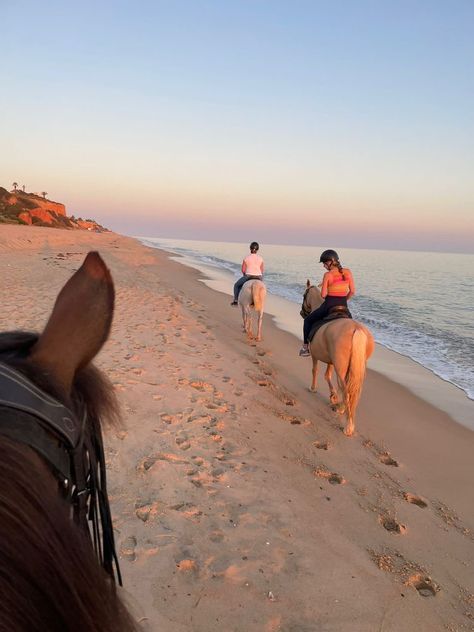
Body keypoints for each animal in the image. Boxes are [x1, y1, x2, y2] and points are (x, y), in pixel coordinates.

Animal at [302, 278, 372, 436]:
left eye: (304, 295)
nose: (302, 313)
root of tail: (356, 329)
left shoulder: (315, 355)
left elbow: (315, 371)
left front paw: (313, 388)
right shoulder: (331, 360)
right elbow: (327, 375)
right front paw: (333, 396)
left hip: (341, 368)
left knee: (346, 391)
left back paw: (348, 424)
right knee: (351, 391)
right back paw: (343, 408)